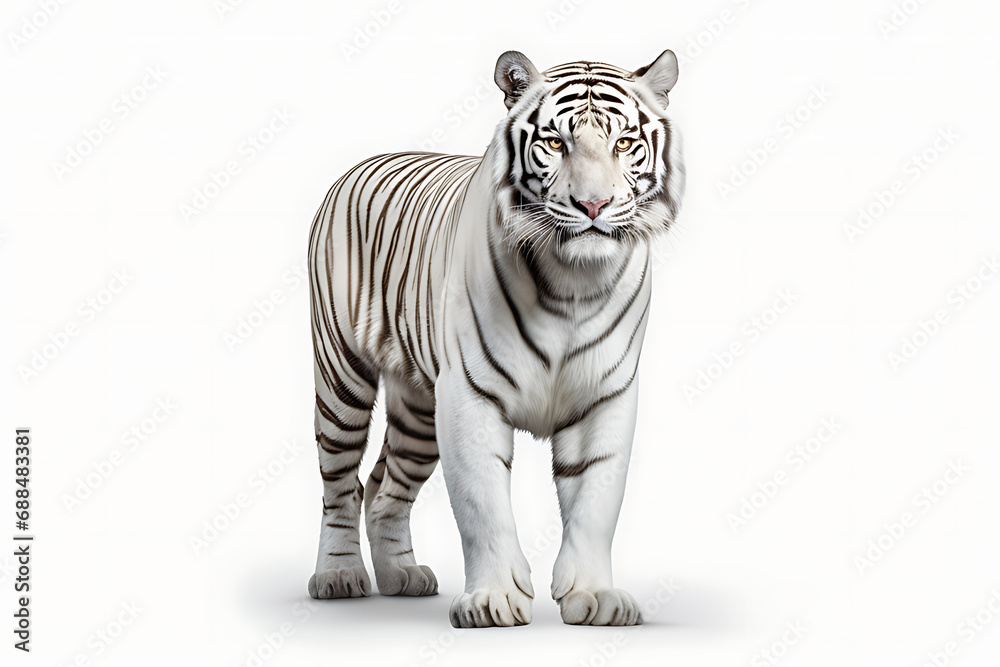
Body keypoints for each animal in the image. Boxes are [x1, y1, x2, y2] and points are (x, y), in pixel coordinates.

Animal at [306, 49, 684, 627]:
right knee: (340, 484)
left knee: (383, 488)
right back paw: (338, 575)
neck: (573, 283)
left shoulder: (606, 396)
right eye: (557, 143)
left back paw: (401, 576)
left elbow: (596, 502)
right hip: (342, 376)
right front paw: (494, 600)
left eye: (623, 143)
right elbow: (482, 504)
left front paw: (594, 597)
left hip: (418, 409)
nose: (594, 206)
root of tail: (357, 166)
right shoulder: (469, 395)